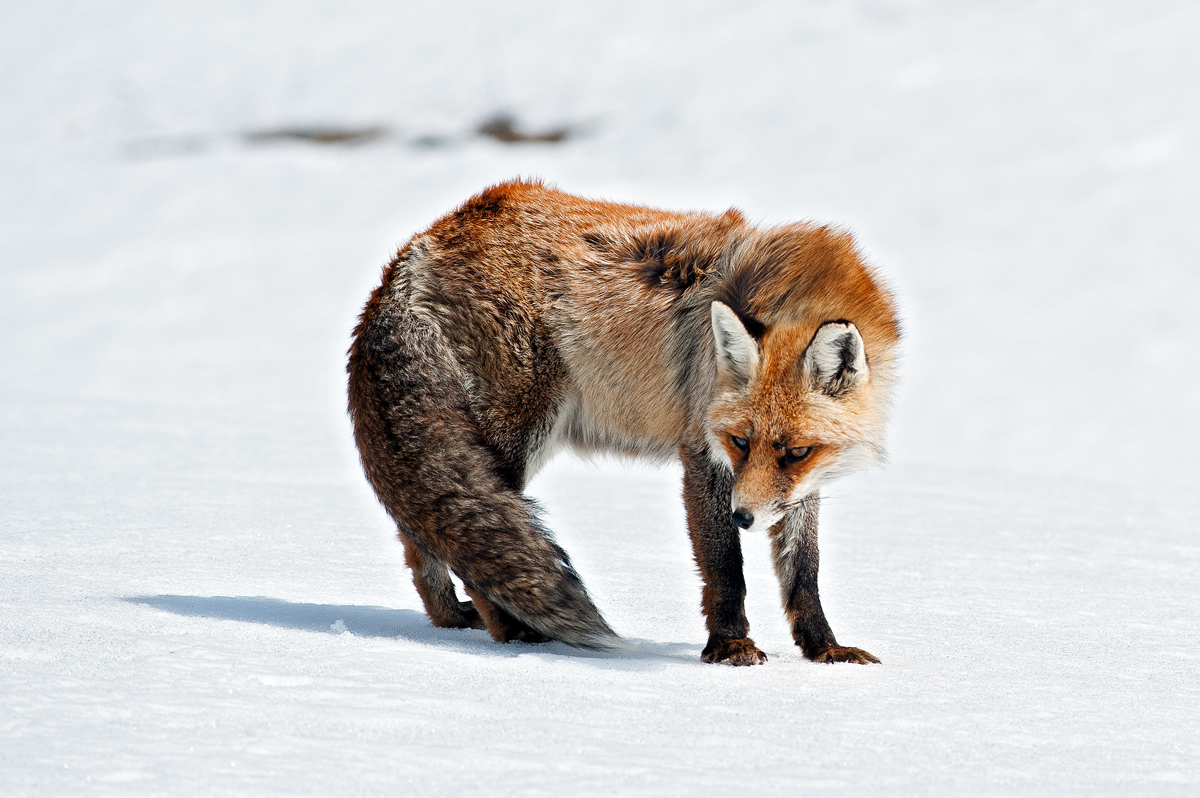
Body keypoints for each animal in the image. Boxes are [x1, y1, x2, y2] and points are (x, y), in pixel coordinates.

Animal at [347, 179, 900, 666]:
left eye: (797, 452)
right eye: (739, 442)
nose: (744, 516)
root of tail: (423, 241)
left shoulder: (801, 484)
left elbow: (803, 572)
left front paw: (824, 650)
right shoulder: (702, 451)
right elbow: (725, 567)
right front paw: (729, 647)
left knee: (421, 537)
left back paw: (450, 620)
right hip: (511, 437)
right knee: (468, 542)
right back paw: (513, 634)